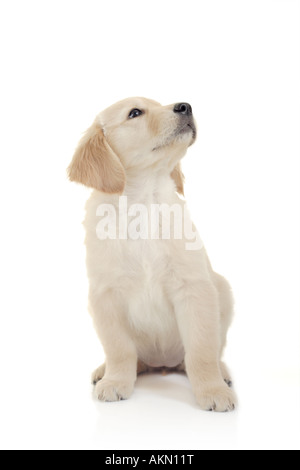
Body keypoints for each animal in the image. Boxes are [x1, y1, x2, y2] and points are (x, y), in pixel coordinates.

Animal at [68, 97, 237, 410]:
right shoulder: (104, 296)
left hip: (222, 289)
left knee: (205, 353)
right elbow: (119, 349)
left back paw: (221, 373)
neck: (143, 206)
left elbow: (202, 350)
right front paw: (115, 380)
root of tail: (162, 364)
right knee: (135, 358)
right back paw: (104, 371)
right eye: (135, 113)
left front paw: (212, 390)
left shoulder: (195, 289)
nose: (185, 106)